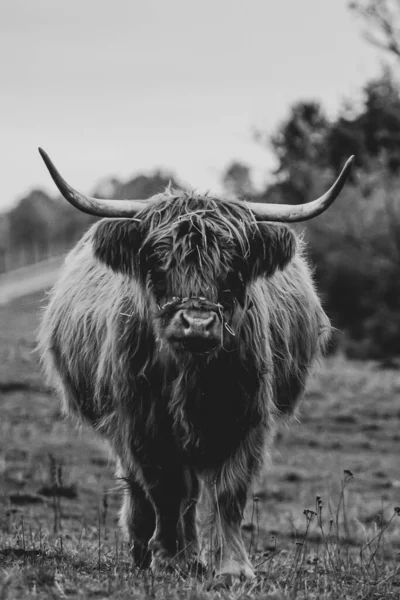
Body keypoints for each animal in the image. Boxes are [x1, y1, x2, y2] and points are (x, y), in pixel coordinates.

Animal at [37, 148, 354, 580]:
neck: (192, 372)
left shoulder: (246, 417)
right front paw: (172, 558)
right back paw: (146, 545)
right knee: (145, 486)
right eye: (156, 263)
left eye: (234, 269)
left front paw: (232, 566)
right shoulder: (141, 420)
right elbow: (166, 487)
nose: (197, 323)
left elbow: (229, 492)